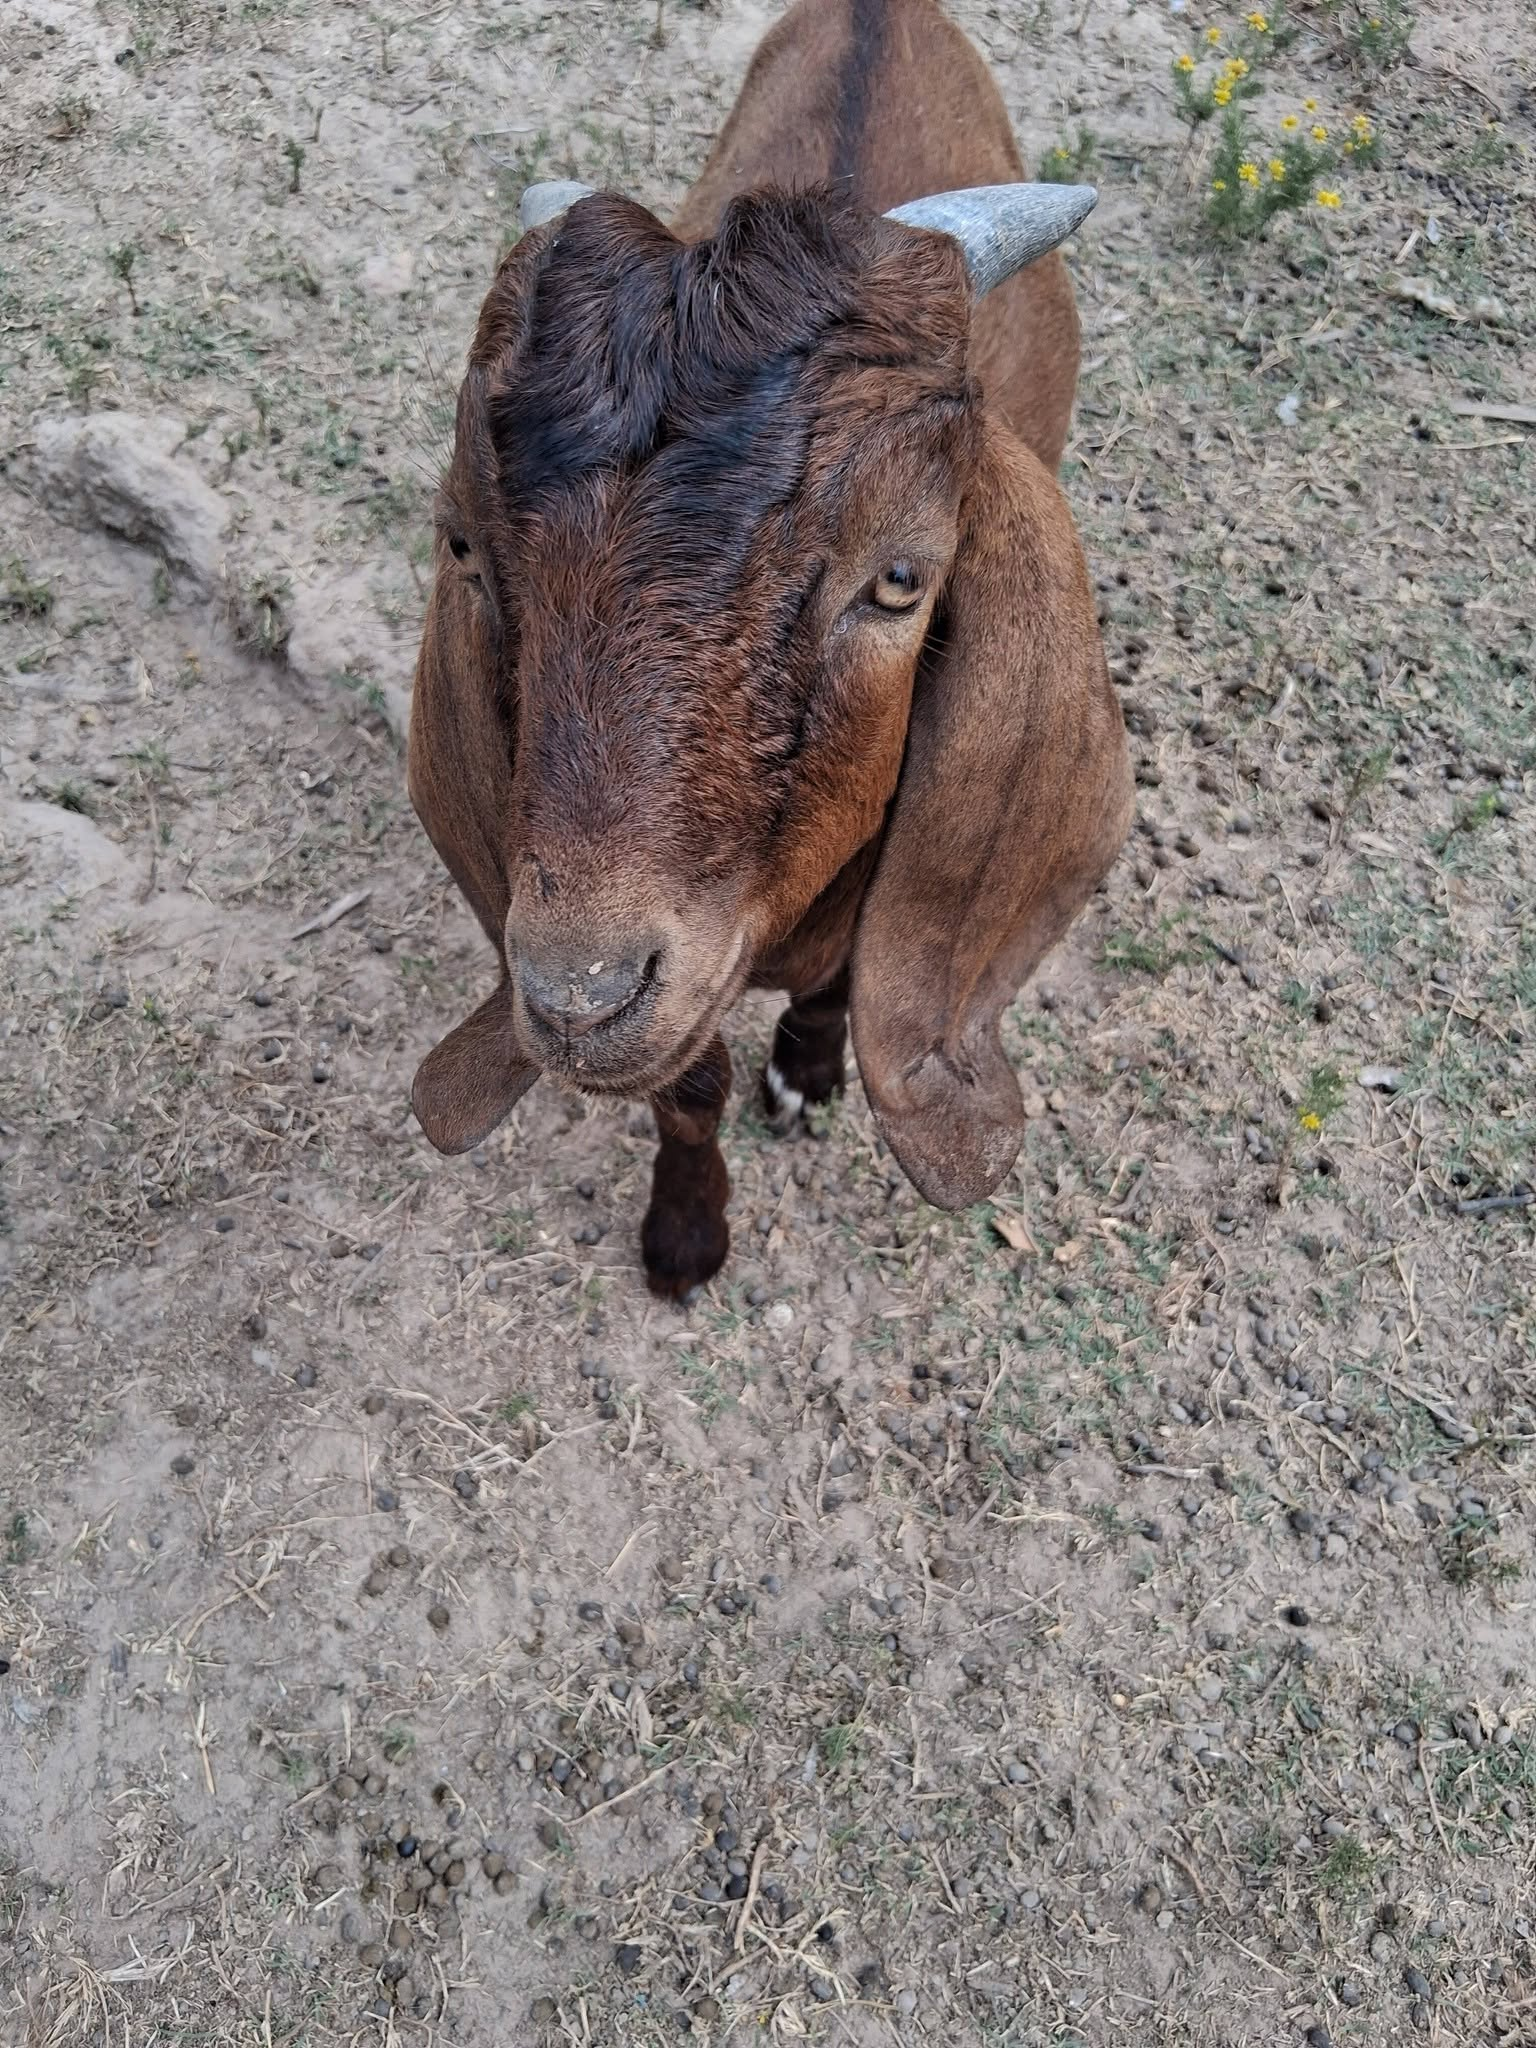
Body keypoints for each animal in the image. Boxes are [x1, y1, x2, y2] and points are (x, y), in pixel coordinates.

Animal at [407, 0, 1134, 1299]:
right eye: (467, 551)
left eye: (900, 579)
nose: (580, 995)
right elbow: (686, 1084)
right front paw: (687, 1235)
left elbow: (847, 981)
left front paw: (805, 1072)